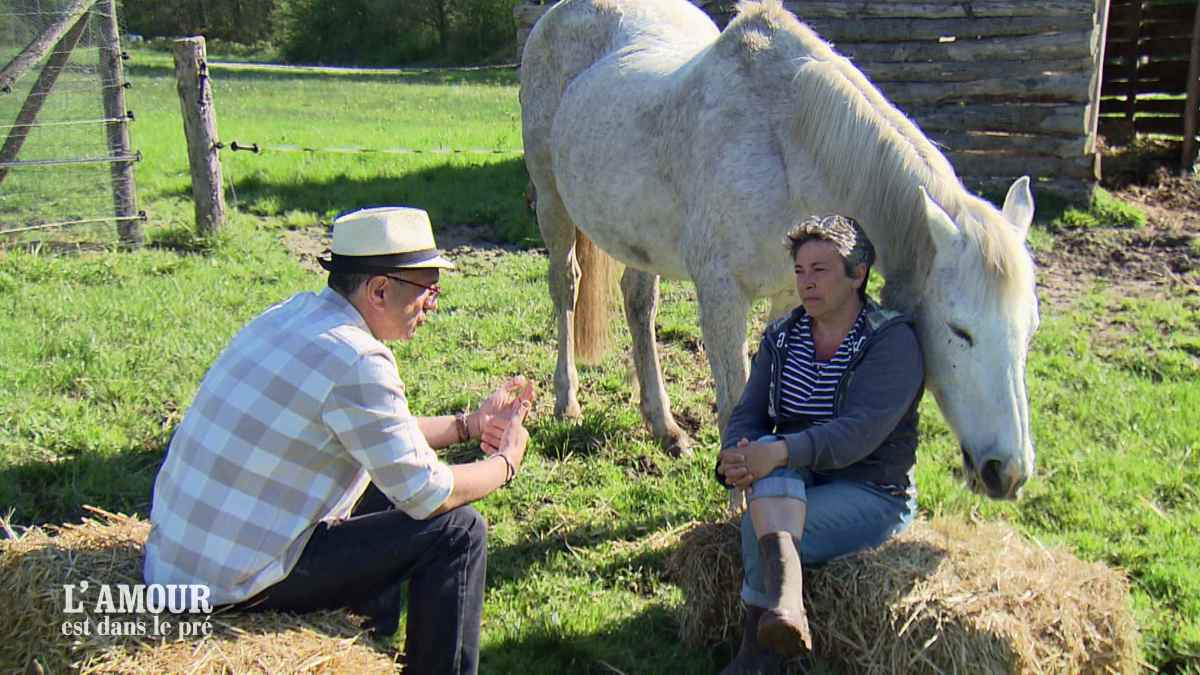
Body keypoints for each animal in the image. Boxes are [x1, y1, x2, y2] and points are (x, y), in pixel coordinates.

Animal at [523, 0, 1041, 497]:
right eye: (959, 330)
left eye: (1030, 330)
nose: (1008, 473)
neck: (788, 146)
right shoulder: (722, 297)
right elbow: (733, 404)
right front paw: (739, 508)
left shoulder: (789, 295)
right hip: (551, 202)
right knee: (565, 287)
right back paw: (567, 401)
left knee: (638, 301)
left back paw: (664, 427)